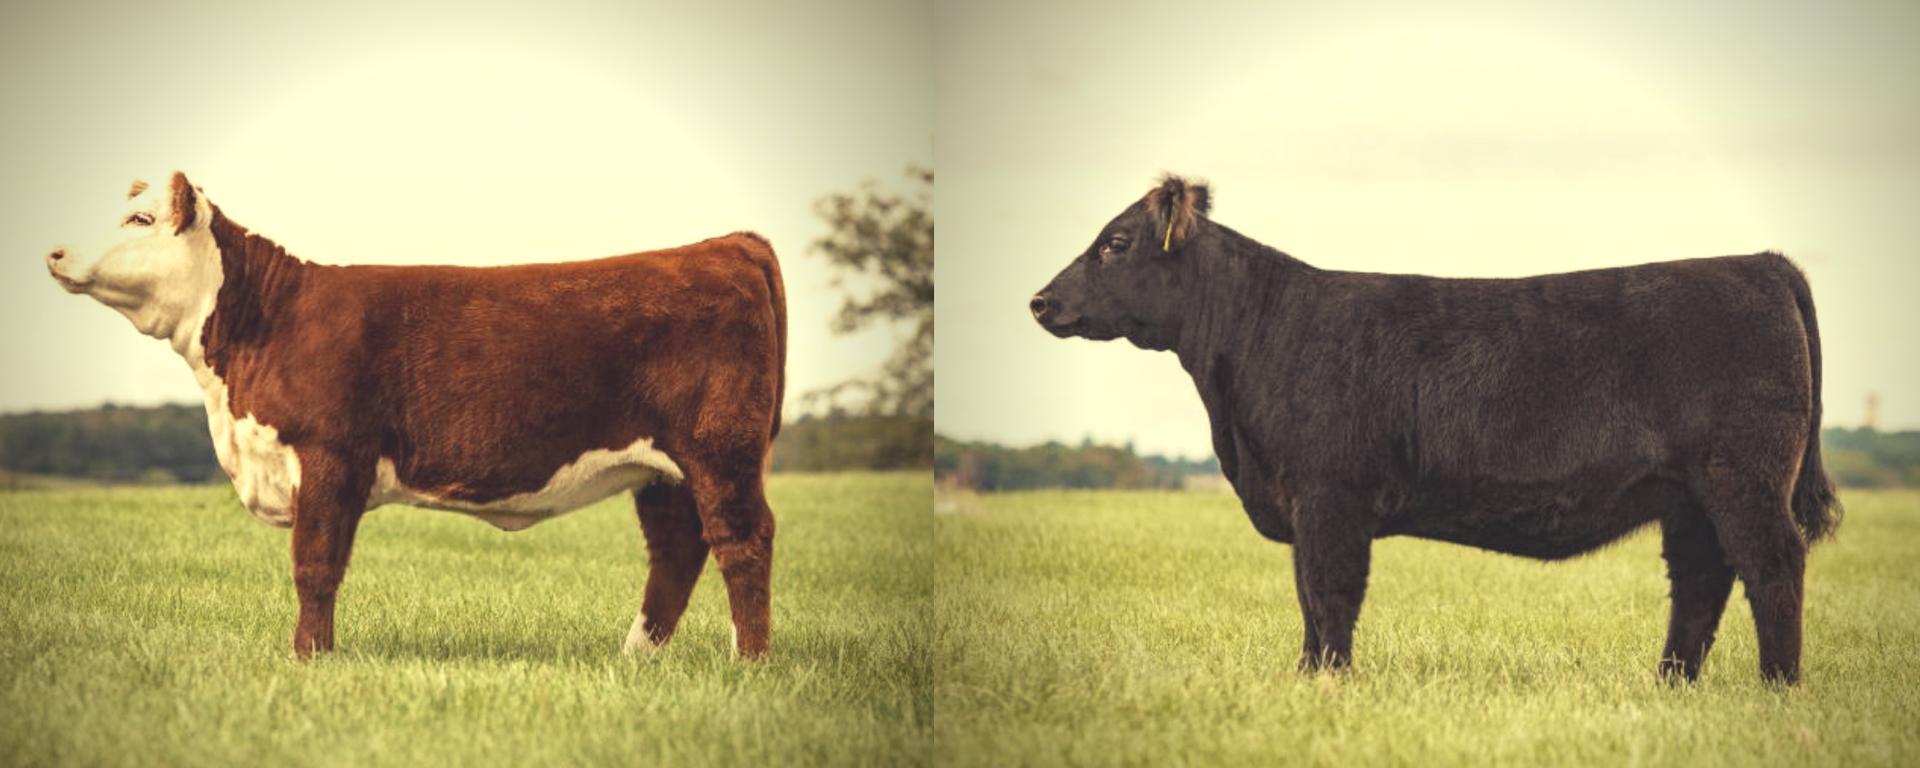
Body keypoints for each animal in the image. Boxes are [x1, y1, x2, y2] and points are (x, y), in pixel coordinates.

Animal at [47, 171, 787, 659]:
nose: (55, 252)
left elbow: (315, 564)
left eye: (141, 221)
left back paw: (748, 661)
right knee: (677, 550)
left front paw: (309, 657)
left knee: (742, 541)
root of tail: (725, 245)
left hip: (719, 448)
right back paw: (636, 657)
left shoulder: (328, 454)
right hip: (663, 471)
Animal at [1030, 174, 1840, 684]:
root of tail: (1760, 263)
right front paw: (1304, 679)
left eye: (1116, 243)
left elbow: (1329, 590)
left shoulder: (1329, 495)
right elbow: (1305, 595)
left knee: (1772, 565)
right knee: (1701, 581)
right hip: (1689, 496)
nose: (1039, 300)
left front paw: (1331, 683)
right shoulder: (1300, 498)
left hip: (1742, 478)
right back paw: (1671, 685)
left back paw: (1778, 686)